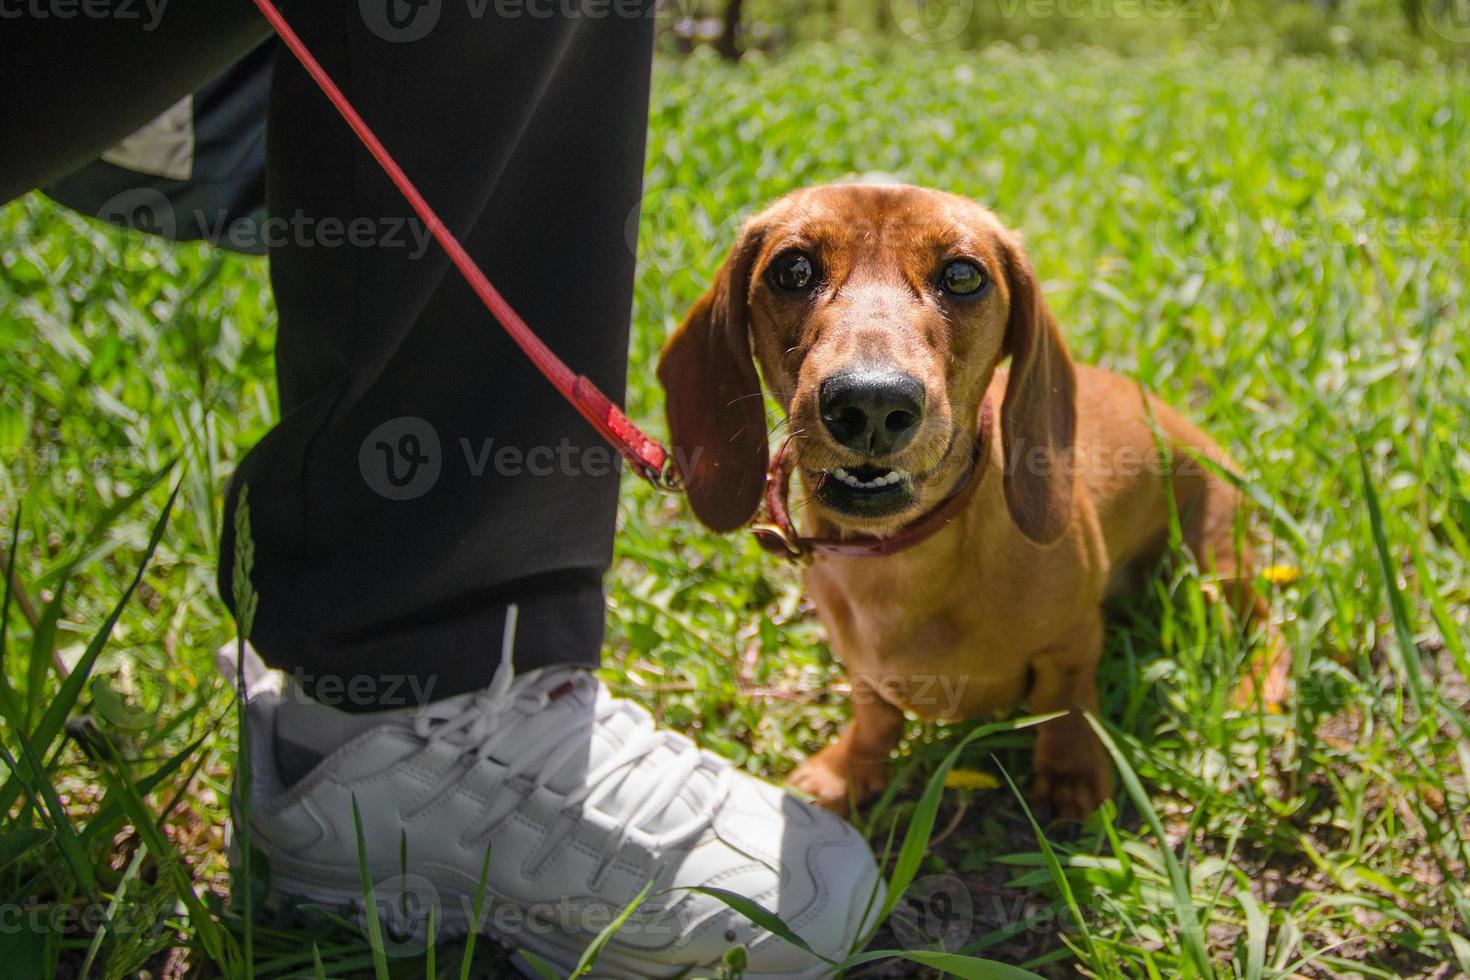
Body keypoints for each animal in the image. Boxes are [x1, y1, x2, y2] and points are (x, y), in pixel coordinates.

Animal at [658, 183, 1264, 822]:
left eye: (964, 275)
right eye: (792, 269)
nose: (870, 404)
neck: (900, 561)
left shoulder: (1072, 644)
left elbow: (1070, 704)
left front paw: (1071, 776)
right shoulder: (864, 670)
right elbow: (875, 716)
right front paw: (847, 769)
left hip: (1213, 572)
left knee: (1269, 627)